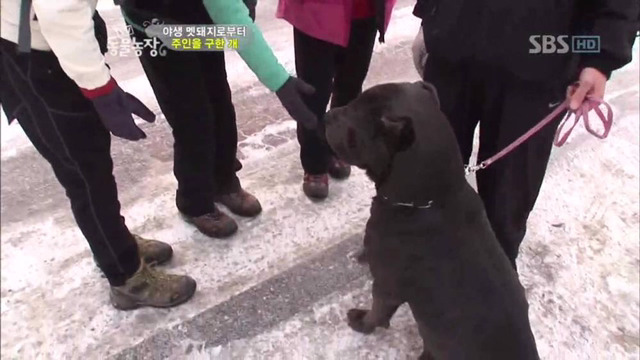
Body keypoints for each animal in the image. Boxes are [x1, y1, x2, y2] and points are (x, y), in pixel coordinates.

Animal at [324, 82, 540, 360]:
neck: (433, 199)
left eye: (353, 126)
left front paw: (361, 322)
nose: (327, 115)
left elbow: (378, 312)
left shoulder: (386, 285)